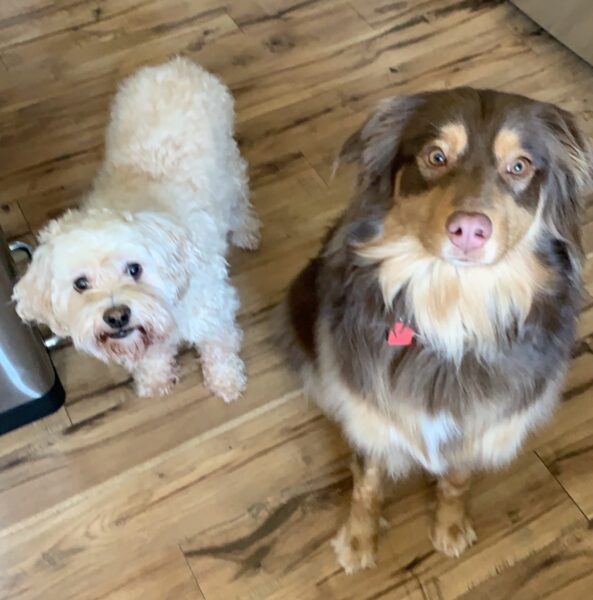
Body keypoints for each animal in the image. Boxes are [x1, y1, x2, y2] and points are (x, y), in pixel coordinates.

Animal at [13, 58, 261, 402]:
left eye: (134, 269)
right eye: (80, 284)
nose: (117, 316)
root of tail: (176, 64)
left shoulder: (212, 308)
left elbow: (219, 347)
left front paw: (226, 381)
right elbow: (153, 355)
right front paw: (155, 379)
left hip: (230, 168)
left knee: (238, 202)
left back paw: (245, 230)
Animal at [281, 88, 592, 573]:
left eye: (519, 166)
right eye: (436, 156)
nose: (469, 229)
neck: (451, 308)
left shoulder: (478, 421)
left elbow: (456, 480)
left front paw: (450, 527)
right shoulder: (373, 410)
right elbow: (367, 484)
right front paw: (358, 542)